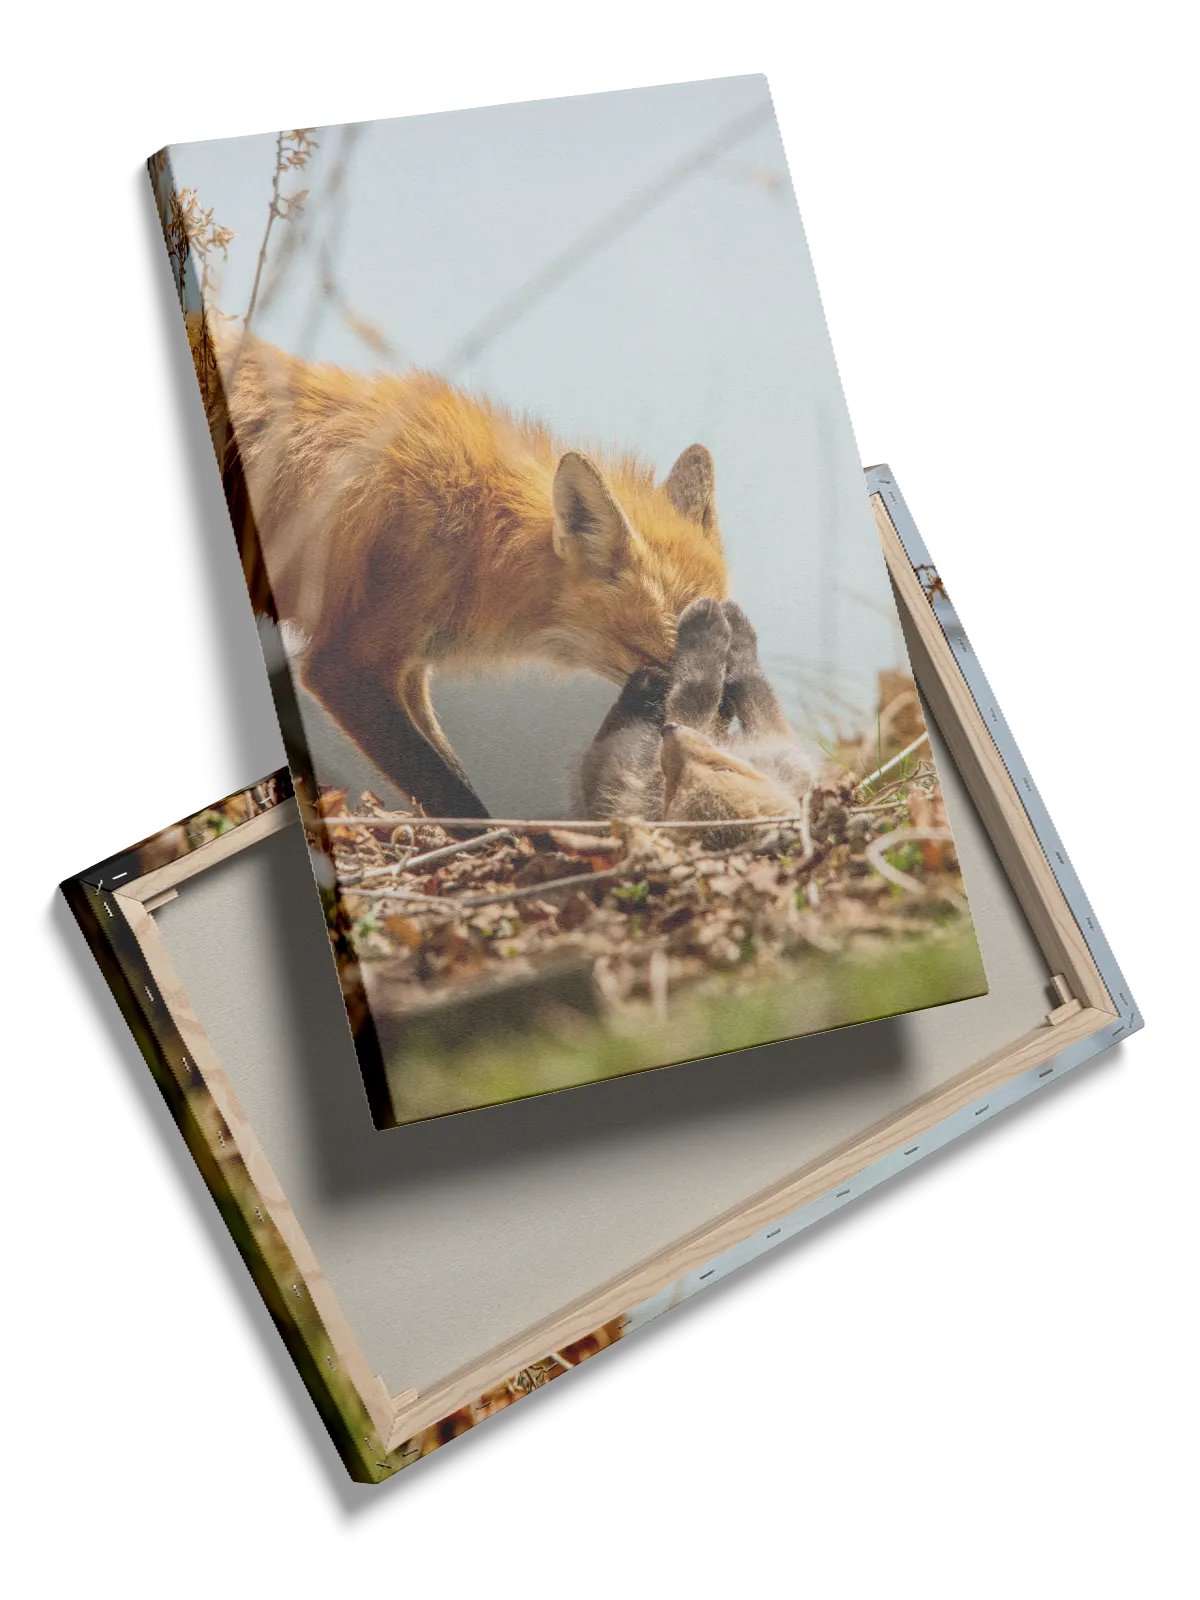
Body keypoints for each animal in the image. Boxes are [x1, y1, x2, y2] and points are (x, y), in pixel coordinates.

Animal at [203, 329, 729, 819]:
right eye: (664, 665)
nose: (721, 749)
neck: (481, 536)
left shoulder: (411, 668)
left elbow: (450, 772)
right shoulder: (344, 666)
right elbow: (451, 797)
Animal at [579, 597, 810, 846]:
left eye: (674, 790)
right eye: (725, 769)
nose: (669, 729)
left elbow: (707, 686)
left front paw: (711, 625)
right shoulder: (779, 746)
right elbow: (739, 686)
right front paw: (722, 624)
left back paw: (645, 686)